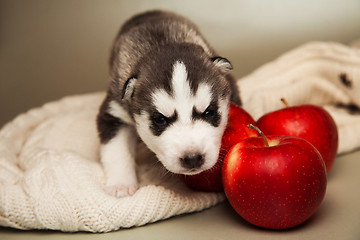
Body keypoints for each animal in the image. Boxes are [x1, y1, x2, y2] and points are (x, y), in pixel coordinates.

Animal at [97, 9, 240, 197]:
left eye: (209, 112)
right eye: (160, 120)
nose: (192, 158)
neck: (164, 41)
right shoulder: (114, 112)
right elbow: (117, 149)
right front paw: (120, 184)